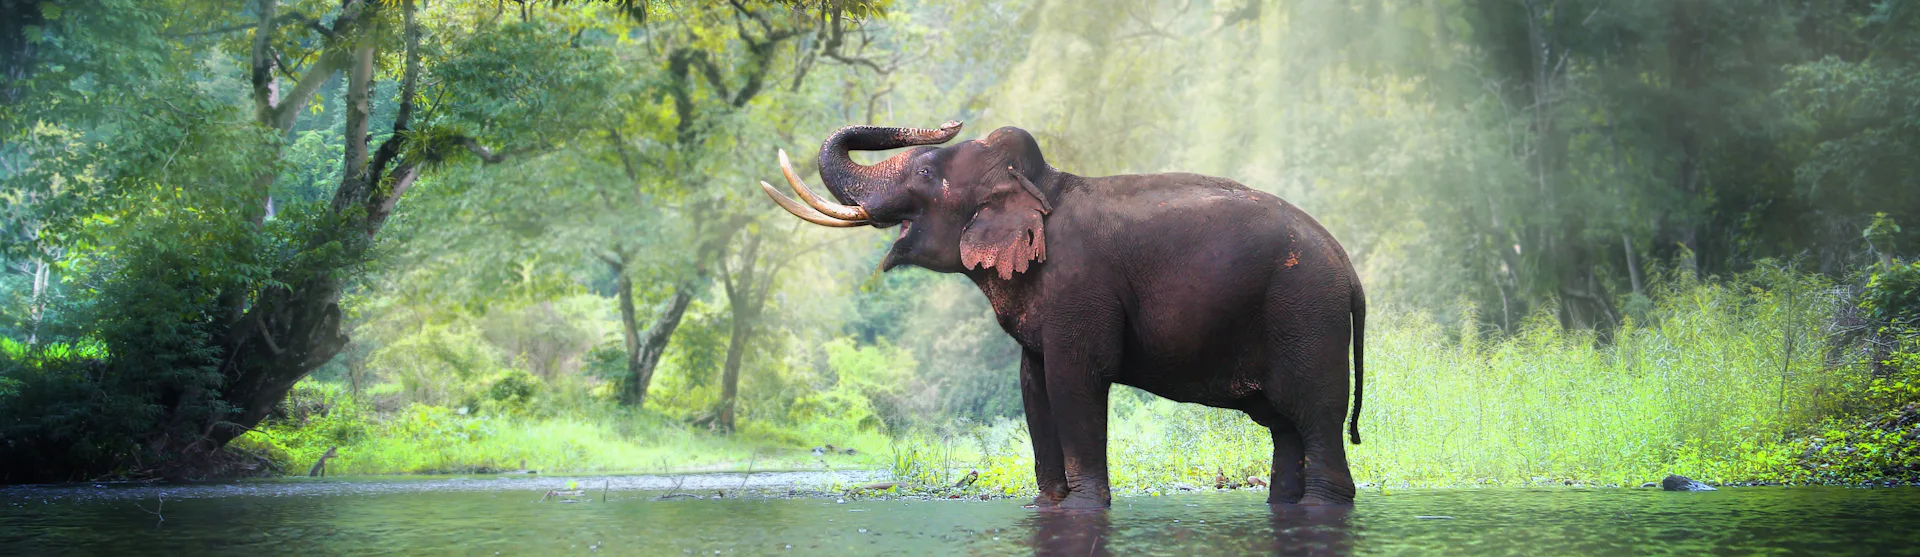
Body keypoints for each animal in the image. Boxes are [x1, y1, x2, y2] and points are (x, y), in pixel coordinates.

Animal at [758, 121, 1366, 508]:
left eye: (929, 173)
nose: (949, 122)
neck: (1044, 184)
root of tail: (1350, 271)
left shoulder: (1081, 286)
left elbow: (1077, 380)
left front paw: (1084, 507)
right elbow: (1034, 385)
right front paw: (1047, 504)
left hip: (1307, 315)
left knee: (1315, 418)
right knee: (1285, 428)